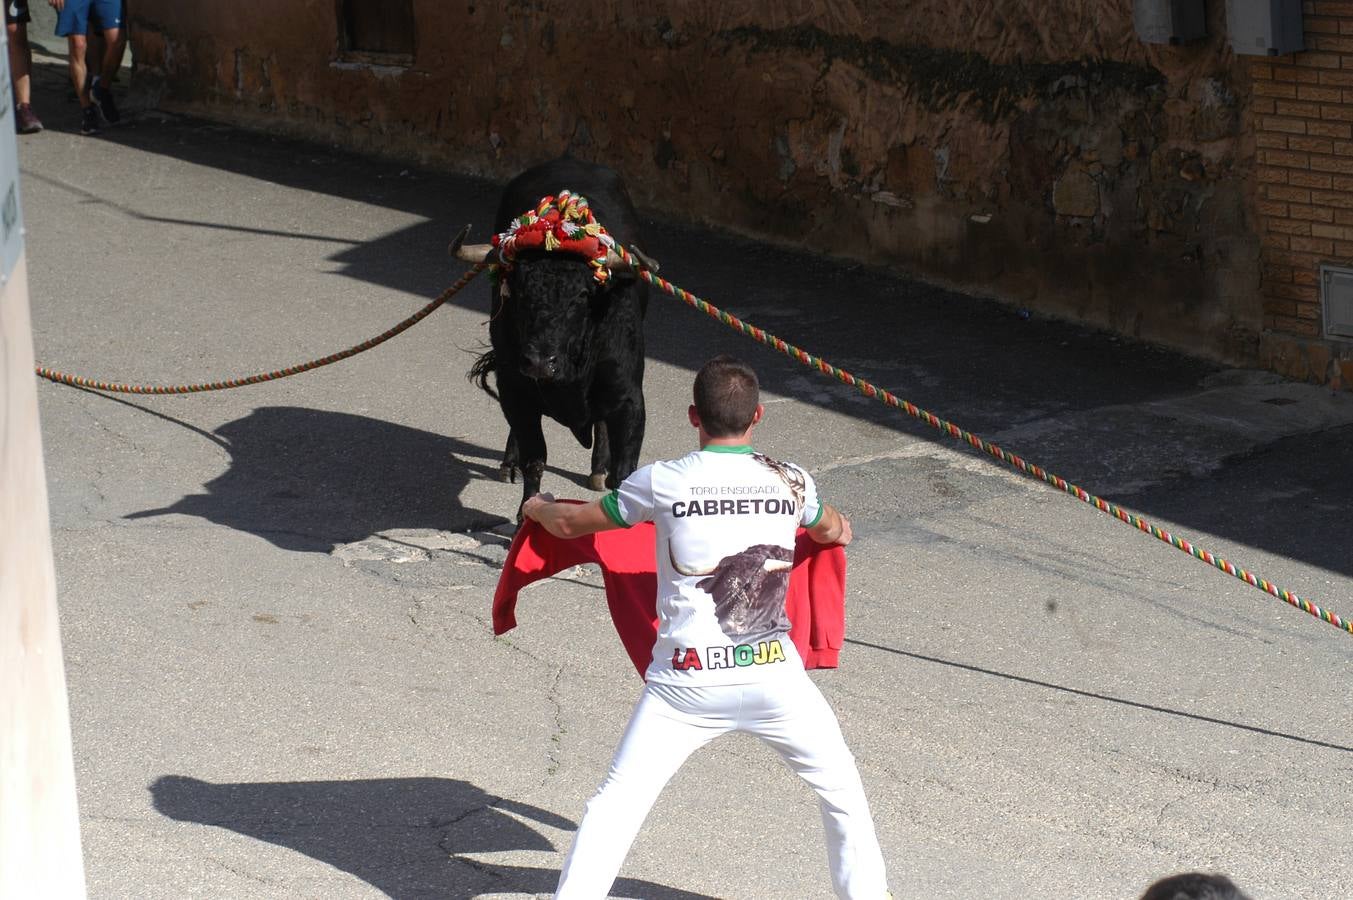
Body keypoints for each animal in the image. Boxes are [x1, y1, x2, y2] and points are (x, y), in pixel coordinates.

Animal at [454, 159, 654, 511]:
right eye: (519, 292)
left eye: (583, 295)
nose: (538, 363)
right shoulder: (515, 390)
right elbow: (535, 457)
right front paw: (526, 510)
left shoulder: (629, 398)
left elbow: (625, 471)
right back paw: (509, 465)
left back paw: (598, 471)